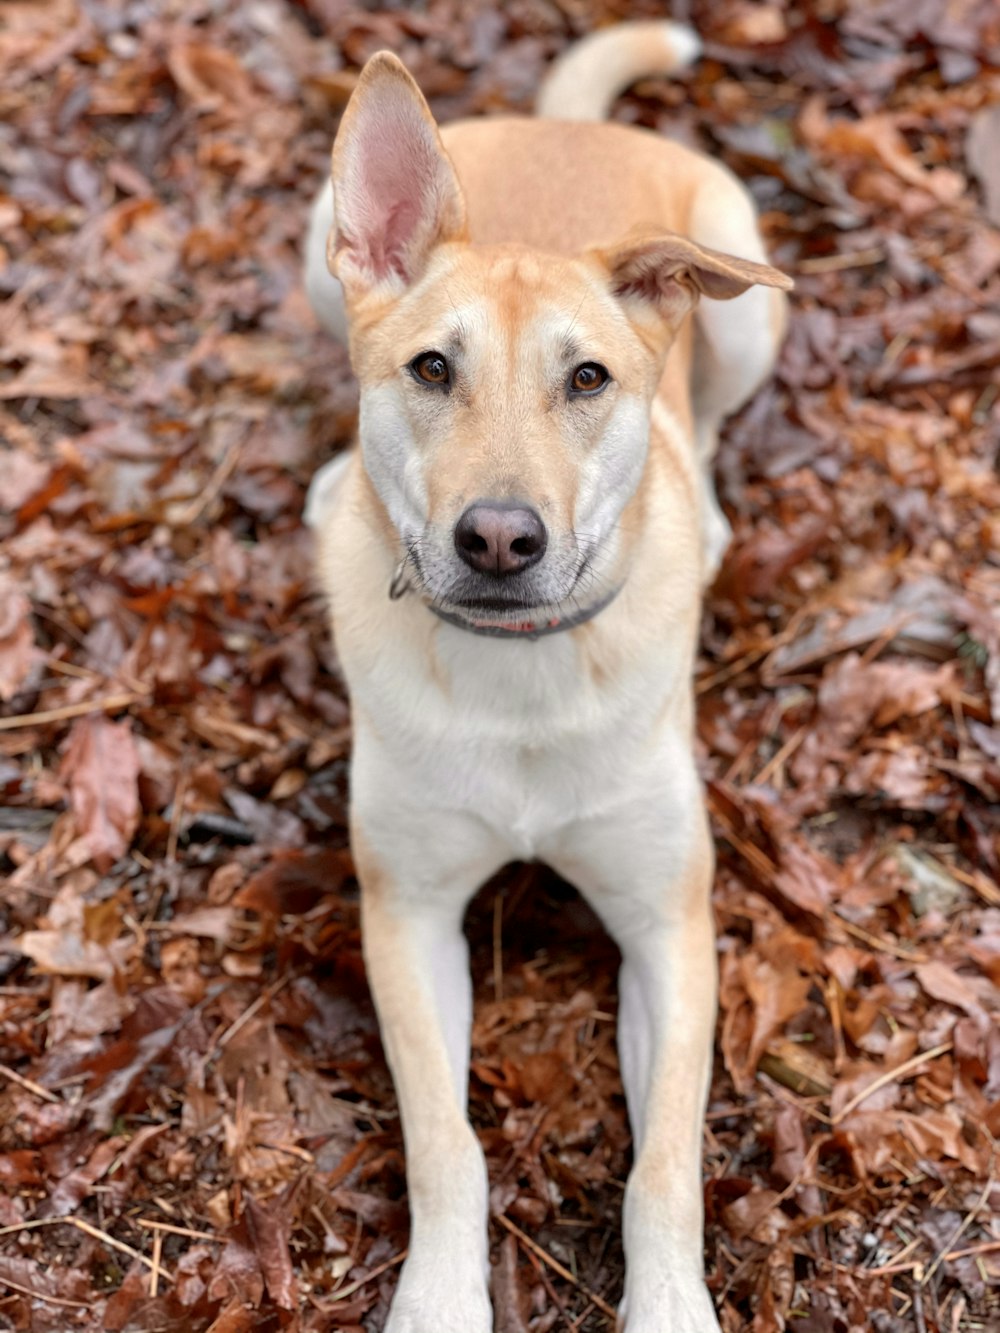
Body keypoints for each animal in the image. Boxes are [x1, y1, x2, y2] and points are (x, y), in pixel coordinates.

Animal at [301, 20, 794, 1333]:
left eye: (587, 381)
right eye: (431, 369)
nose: (498, 540)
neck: (518, 674)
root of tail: (565, 121)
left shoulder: (669, 927)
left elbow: (663, 1163)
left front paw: (669, 1307)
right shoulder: (407, 915)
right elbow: (445, 1144)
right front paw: (437, 1301)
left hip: (746, 310)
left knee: (707, 420)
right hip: (317, 252)